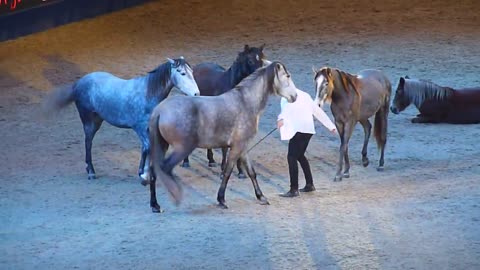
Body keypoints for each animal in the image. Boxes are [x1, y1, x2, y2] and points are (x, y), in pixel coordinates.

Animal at [182, 44, 268, 179]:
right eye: (250, 60)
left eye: (262, 60)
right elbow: (224, 148)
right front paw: (223, 171)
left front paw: (240, 171)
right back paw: (186, 161)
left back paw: (211, 160)